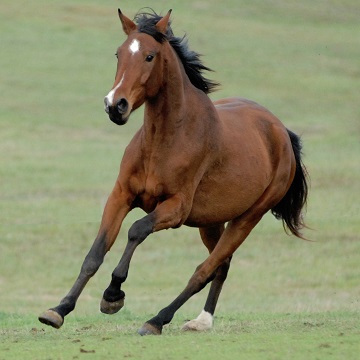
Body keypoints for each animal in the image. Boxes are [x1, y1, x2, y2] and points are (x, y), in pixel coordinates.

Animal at [40, 8, 310, 334]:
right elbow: (95, 253)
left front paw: (113, 294)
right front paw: (58, 310)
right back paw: (202, 321)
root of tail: (282, 132)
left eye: (150, 56)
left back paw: (157, 320)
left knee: (204, 270)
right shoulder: (121, 196)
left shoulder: (176, 209)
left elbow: (136, 230)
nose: (115, 106)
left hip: (248, 218)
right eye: (119, 53)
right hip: (212, 222)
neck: (164, 141)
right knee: (221, 266)